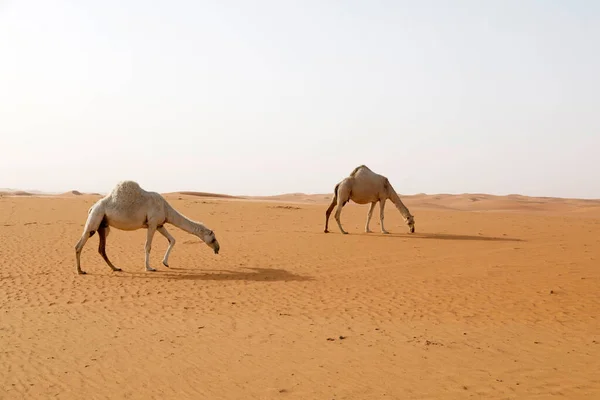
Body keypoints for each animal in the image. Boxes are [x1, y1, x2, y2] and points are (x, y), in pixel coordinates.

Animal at [74, 181, 220, 276]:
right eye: (213, 238)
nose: (218, 249)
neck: (166, 209)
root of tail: (92, 207)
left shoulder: (160, 224)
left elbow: (172, 240)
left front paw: (165, 263)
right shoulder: (152, 223)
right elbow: (148, 246)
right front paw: (149, 268)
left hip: (103, 225)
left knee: (101, 248)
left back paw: (116, 268)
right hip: (95, 217)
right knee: (80, 243)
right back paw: (80, 270)